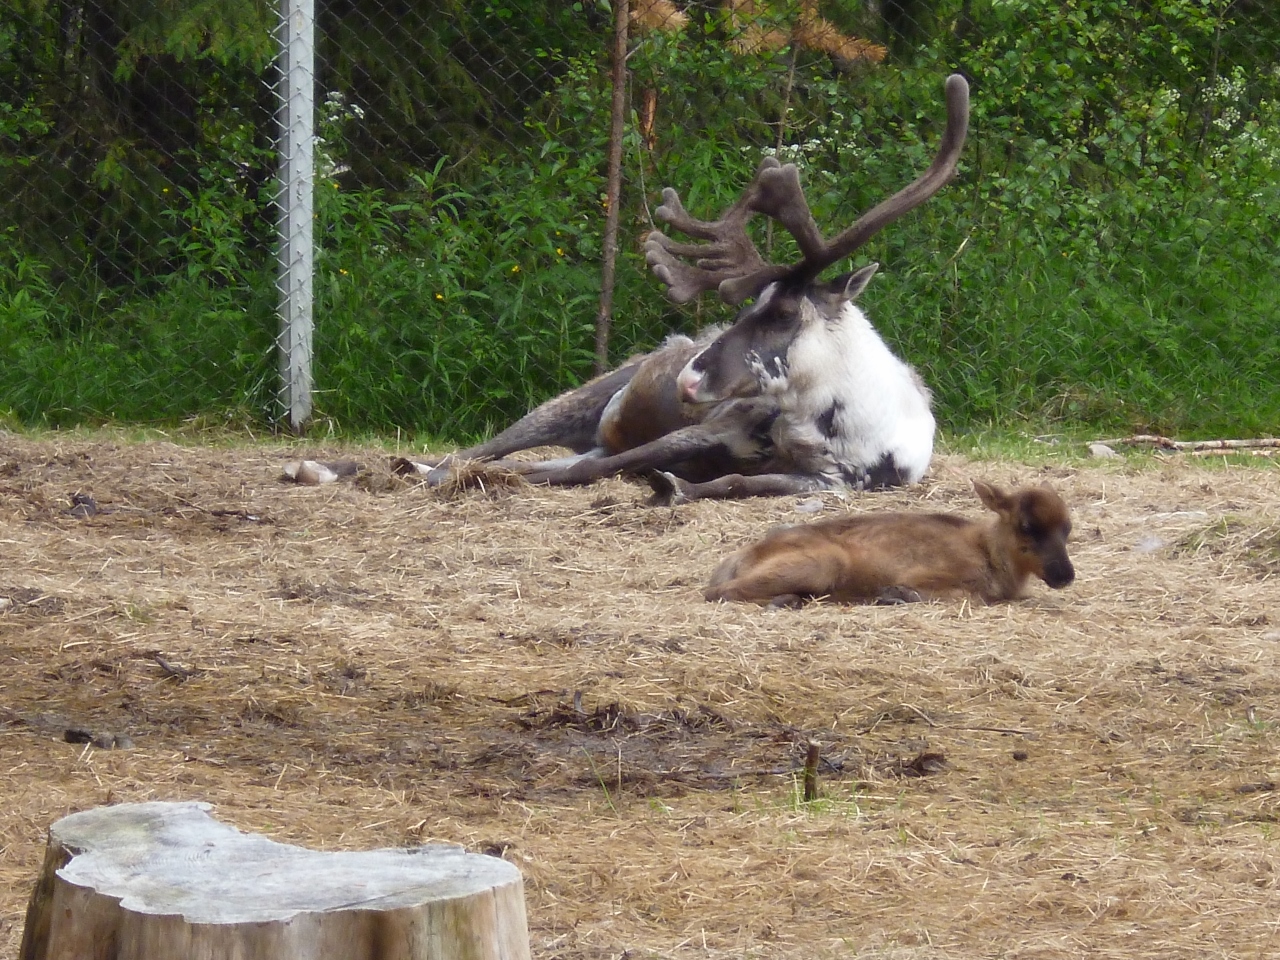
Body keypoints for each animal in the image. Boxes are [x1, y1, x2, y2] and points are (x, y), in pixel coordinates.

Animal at [706, 481, 1075, 609]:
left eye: (1067, 527)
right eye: (1026, 526)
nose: (1065, 575)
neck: (988, 552)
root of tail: (740, 556)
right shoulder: (928, 576)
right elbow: (967, 596)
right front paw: (894, 595)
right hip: (823, 563)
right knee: (719, 593)